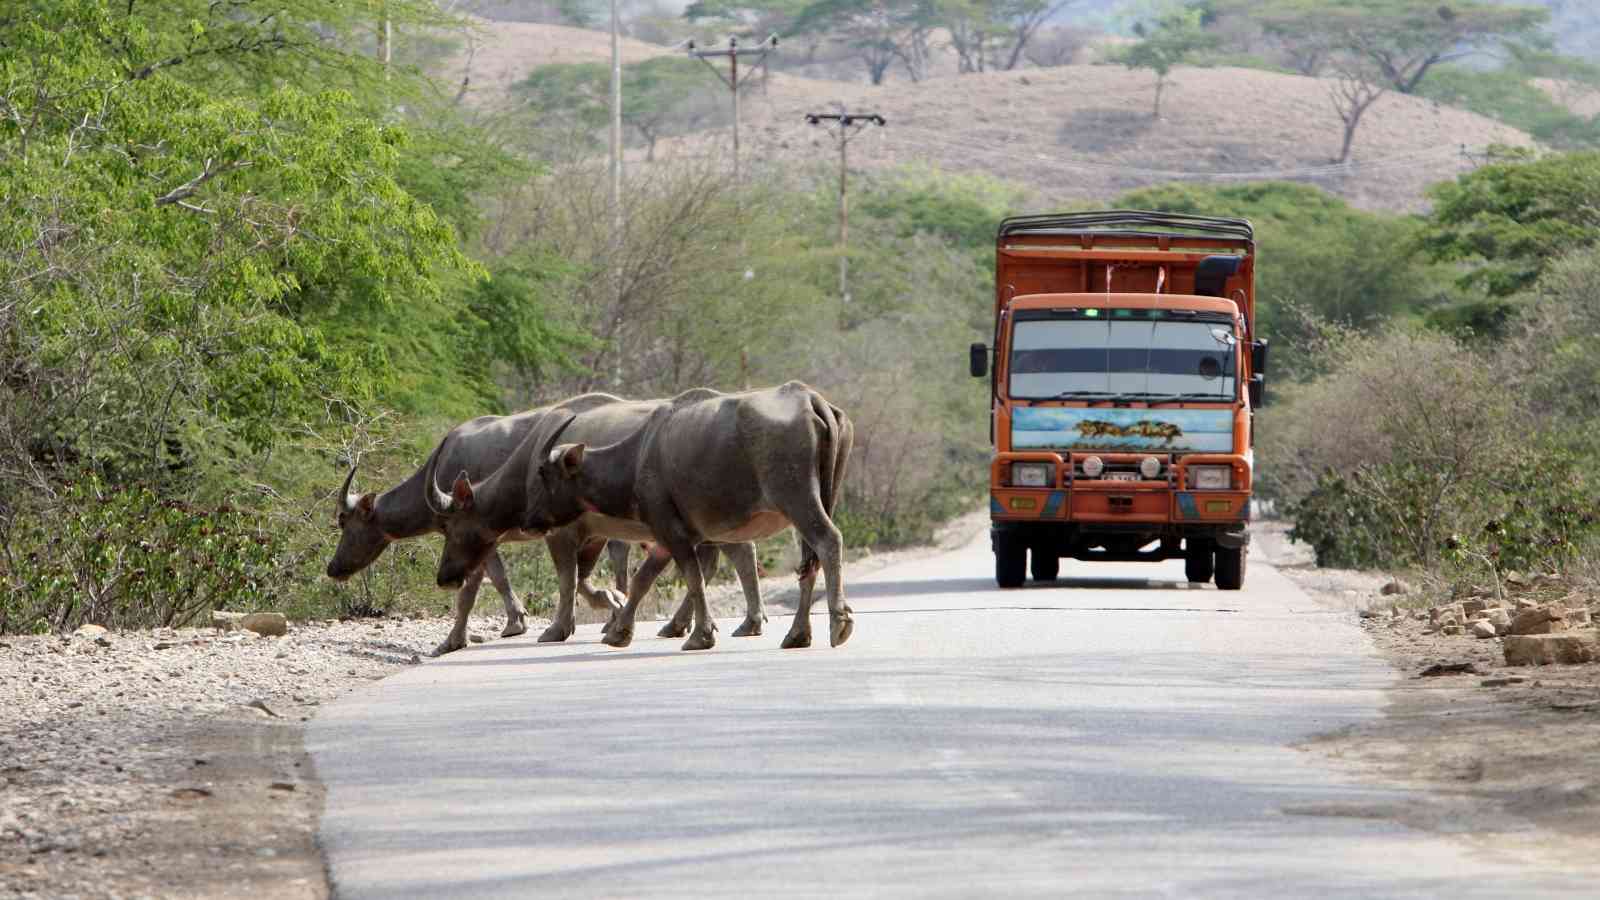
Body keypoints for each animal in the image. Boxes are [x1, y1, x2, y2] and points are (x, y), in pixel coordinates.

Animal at [425, 381, 851, 646]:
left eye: (544, 474)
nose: (444, 577)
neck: (637, 454)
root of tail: (809, 399)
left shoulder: (666, 532)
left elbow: (686, 578)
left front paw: (698, 635)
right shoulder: (663, 537)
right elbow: (642, 580)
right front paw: (619, 628)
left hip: (799, 502)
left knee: (827, 541)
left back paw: (838, 622)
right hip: (815, 502)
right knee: (805, 562)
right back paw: (796, 634)